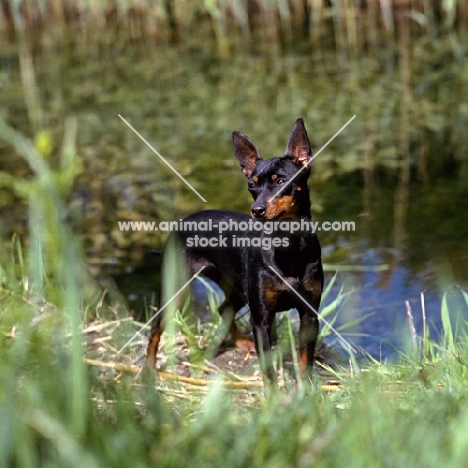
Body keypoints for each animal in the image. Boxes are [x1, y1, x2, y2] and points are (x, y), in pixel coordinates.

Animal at [148, 119, 324, 384]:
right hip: (175, 289)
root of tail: (180, 225)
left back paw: (242, 343)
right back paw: (146, 371)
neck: (290, 248)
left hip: (236, 288)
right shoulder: (261, 319)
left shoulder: (309, 315)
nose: (257, 210)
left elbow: (306, 364)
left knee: (224, 309)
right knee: (155, 329)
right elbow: (268, 373)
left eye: (281, 181)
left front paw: (306, 391)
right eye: (252, 185)